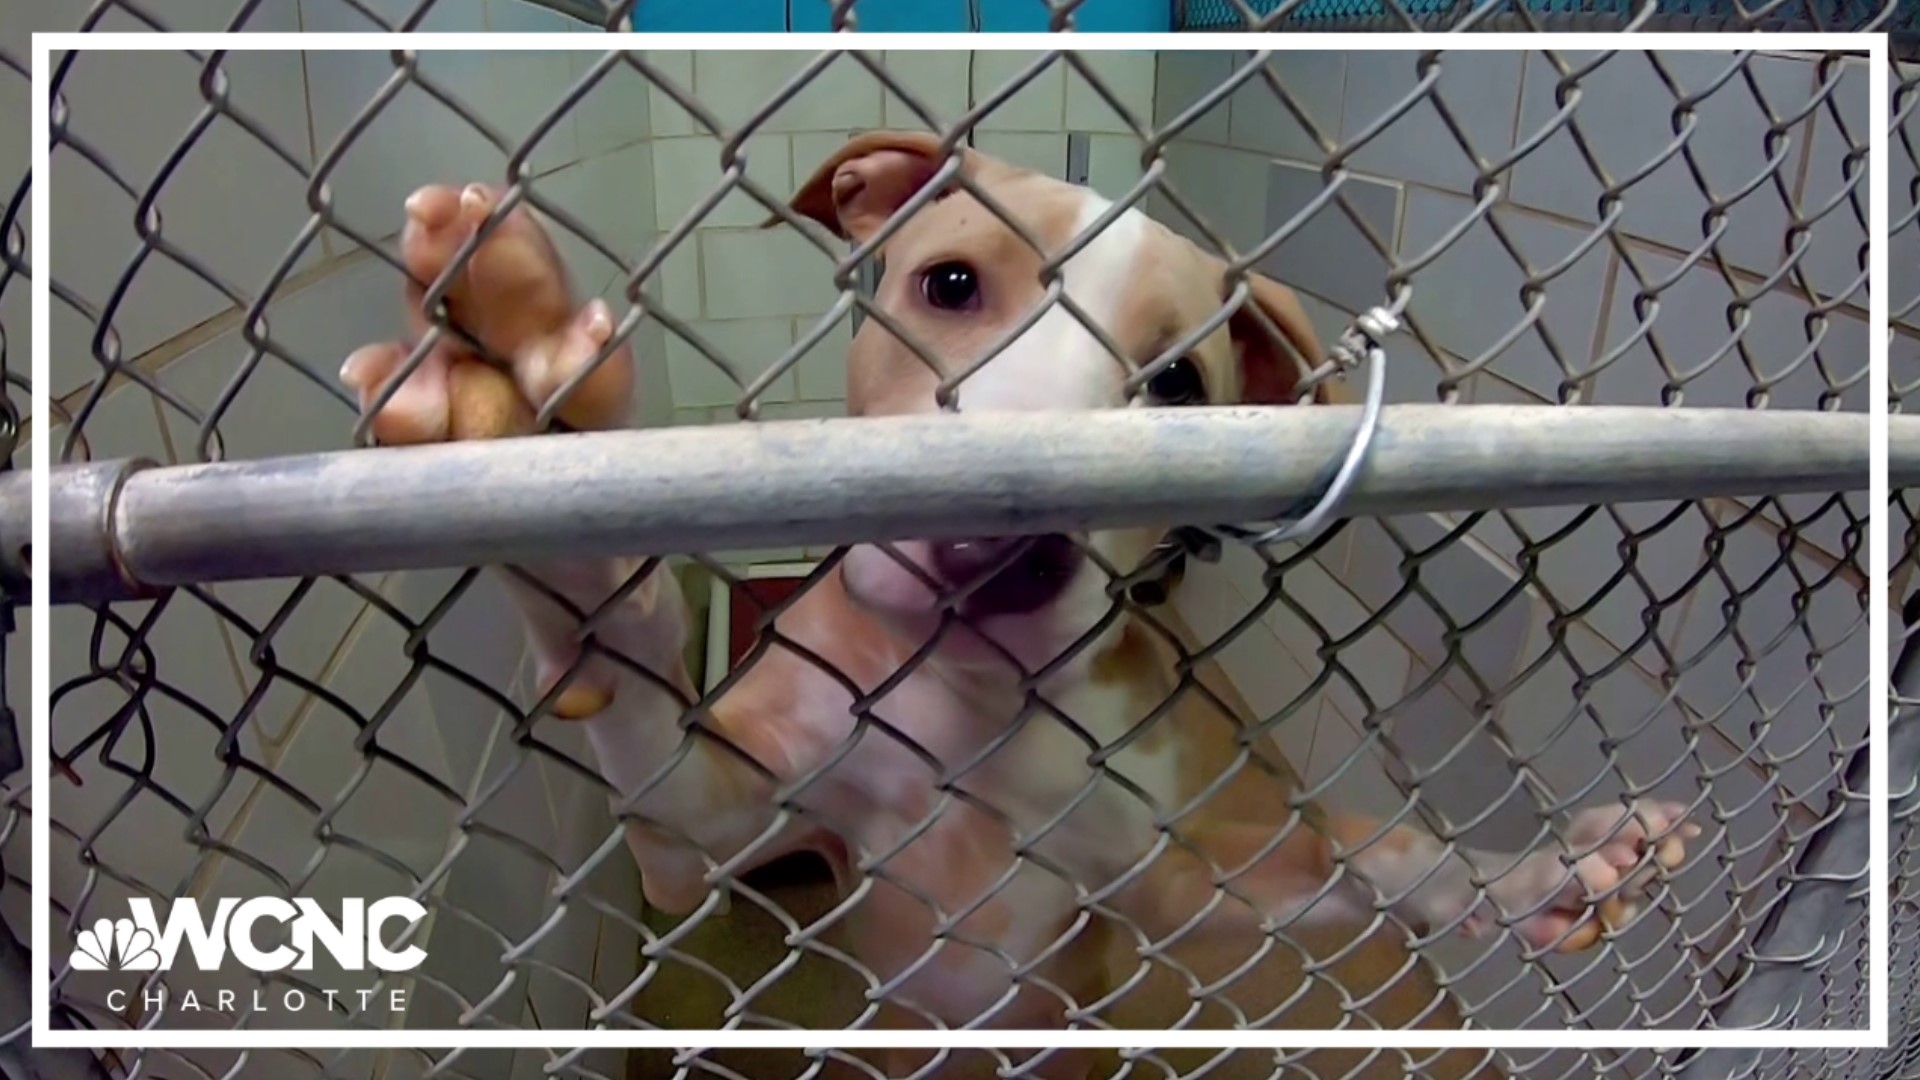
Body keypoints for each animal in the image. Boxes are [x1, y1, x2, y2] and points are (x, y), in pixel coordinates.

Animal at [341, 130, 1697, 1068]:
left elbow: (1386, 860)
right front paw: (531, 395)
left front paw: (1547, 877)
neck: (977, 700)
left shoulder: (1173, 888)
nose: (1004, 554)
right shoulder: (700, 832)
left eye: (1180, 385)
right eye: (950, 285)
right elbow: (624, 665)